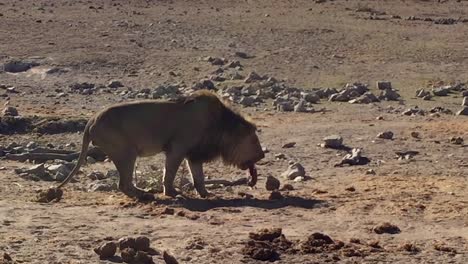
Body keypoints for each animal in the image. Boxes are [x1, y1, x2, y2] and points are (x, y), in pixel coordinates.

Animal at [55, 89, 264, 198]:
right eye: (254, 140)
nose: (262, 155)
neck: (220, 125)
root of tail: (91, 120)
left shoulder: (194, 154)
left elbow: (199, 177)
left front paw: (206, 194)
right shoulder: (177, 148)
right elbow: (169, 173)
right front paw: (171, 192)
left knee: (124, 184)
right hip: (126, 152)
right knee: (123, 184)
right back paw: (144, 194)